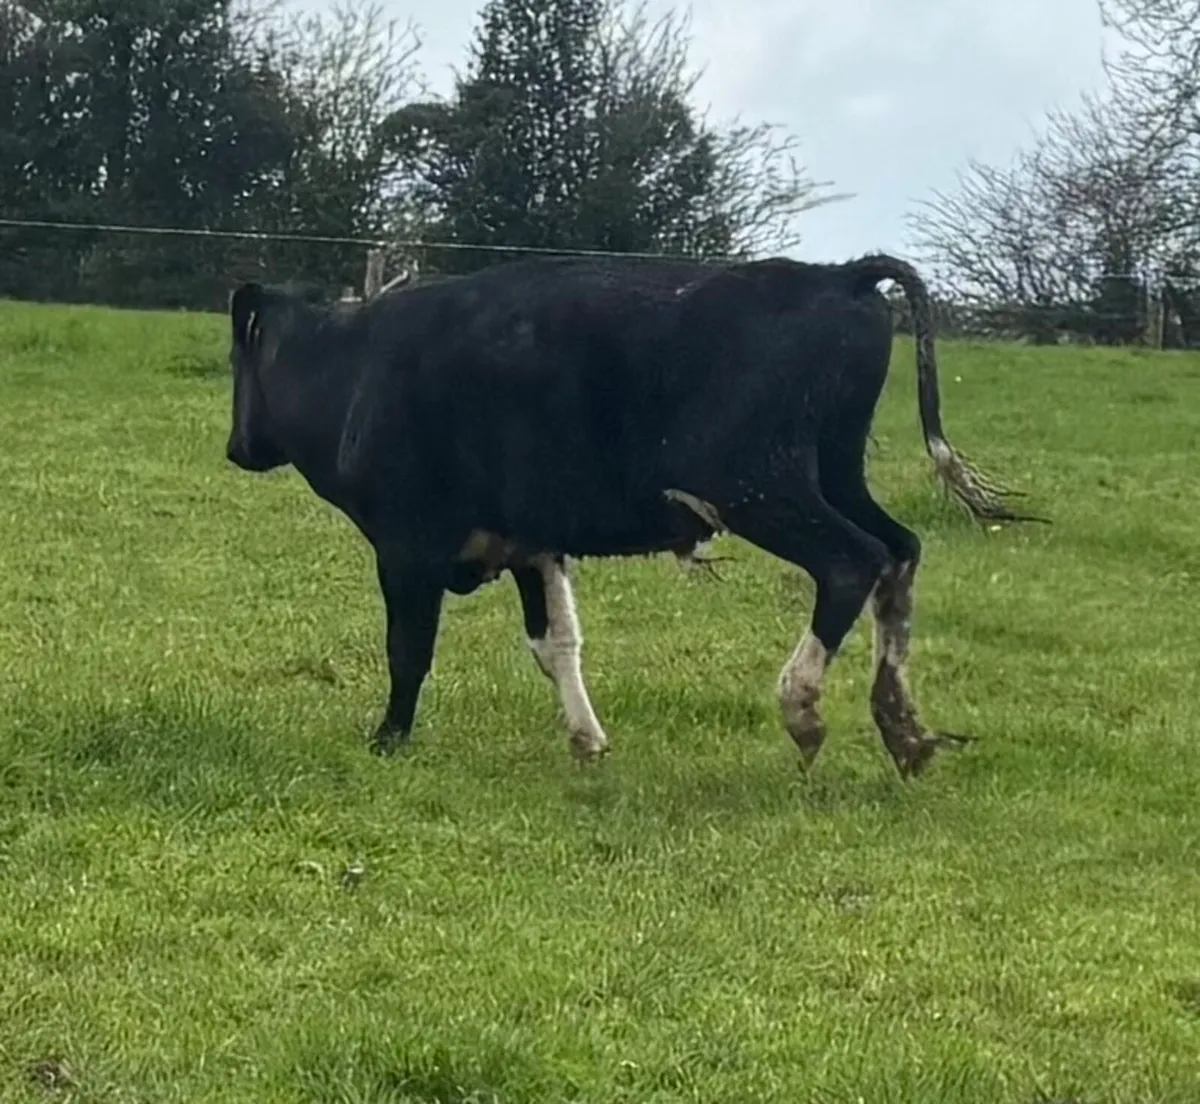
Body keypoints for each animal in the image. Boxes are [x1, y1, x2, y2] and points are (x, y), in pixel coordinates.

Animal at [224, 252, 1044, 779]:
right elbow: (556, 644)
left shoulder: (407, 546)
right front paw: (587, 741)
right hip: (834, 472)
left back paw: (804, 708)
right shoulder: (531, 544)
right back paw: (904, 730)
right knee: (899, 551)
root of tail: (833, 275)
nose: (237, 447)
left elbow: (408, 649)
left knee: (853, 562)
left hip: (761, 487)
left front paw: (389, 737)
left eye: (239, 362)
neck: (352, 370)